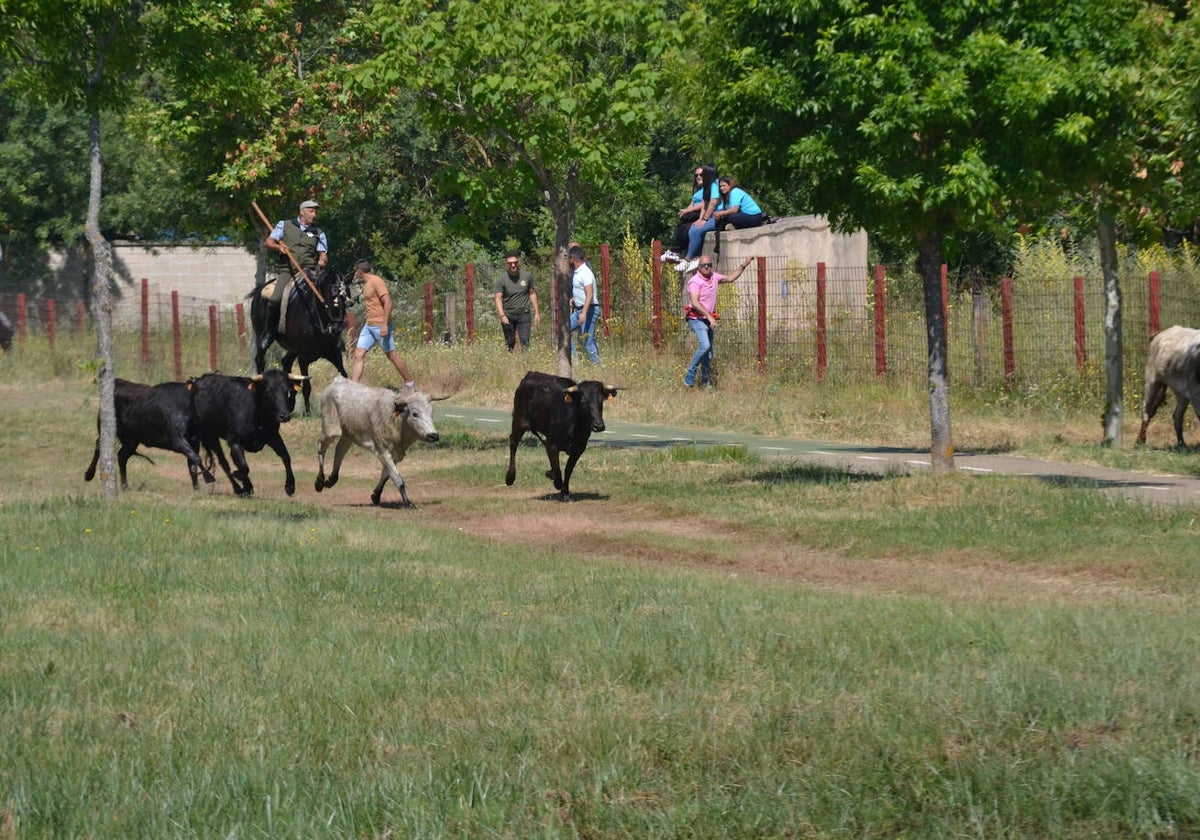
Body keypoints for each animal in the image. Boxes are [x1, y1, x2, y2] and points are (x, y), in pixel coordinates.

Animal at [249, 271, 350, 415]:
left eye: (347, 300)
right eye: (333, 298)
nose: (337, 329)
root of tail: (259, 291)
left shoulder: (334, 353)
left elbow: (344, 375)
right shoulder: (303, 358)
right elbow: (306, 386)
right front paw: (307, 412)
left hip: (292, 349)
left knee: (286, 362)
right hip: (260, 337)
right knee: (260, 360)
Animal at [314, 379, 441, 508]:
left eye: (431, 413)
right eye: (415, 414)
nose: (433, 435)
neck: (395, 421)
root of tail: (337, 381)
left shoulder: (396, 455)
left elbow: (386, 474)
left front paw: (376, 495)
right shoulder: (383, 452)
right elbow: (398, 479)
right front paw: (408, 503)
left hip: (347, 436)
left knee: (340, 450)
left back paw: (332, 479)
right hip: (329, 430)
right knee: (321, 448)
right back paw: (319, 481)